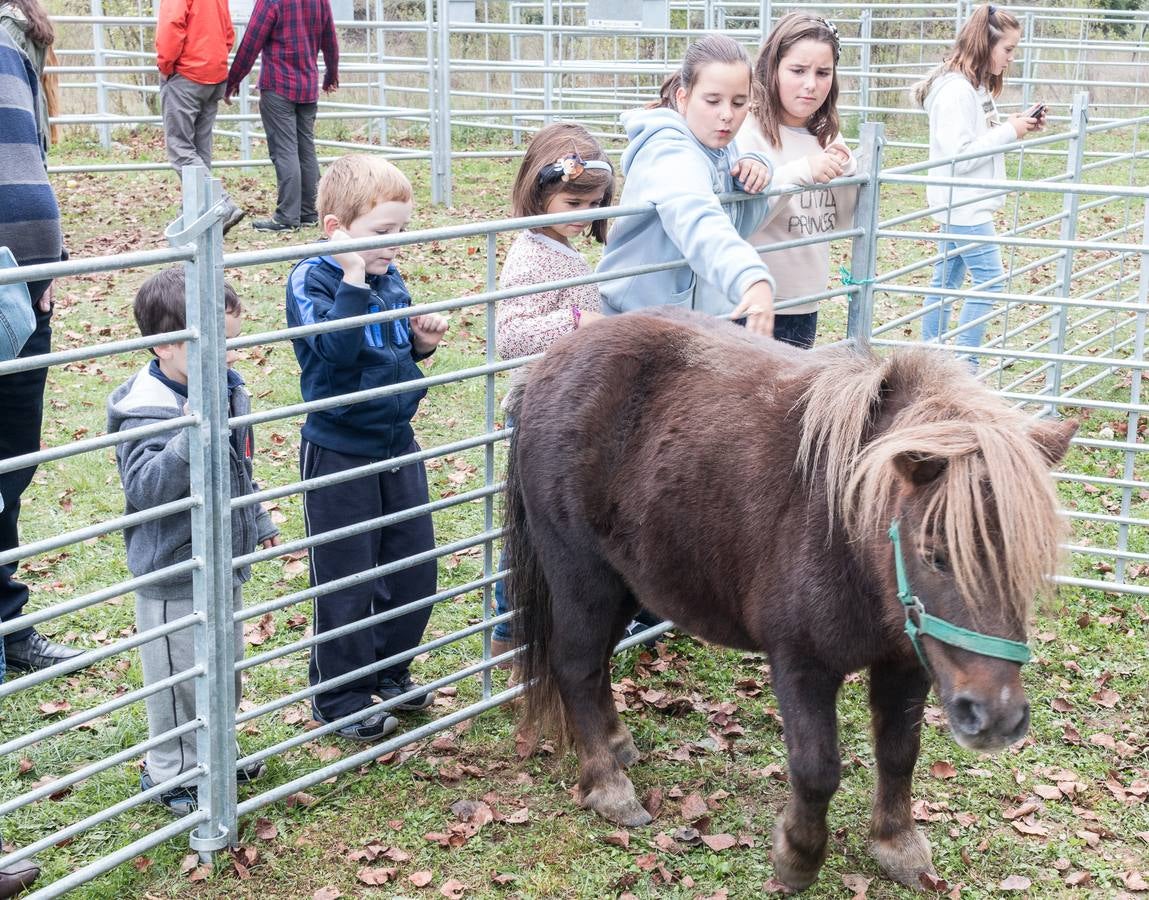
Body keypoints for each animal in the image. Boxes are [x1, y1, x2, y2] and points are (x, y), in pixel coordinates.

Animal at [505, 305, 1075, 891]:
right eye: (935, 554)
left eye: (1032, 558)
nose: (997, 718)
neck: (844, 528)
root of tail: (546, 366)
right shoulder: (802, 664)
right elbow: (817, 768)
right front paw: (798, 855)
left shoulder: (907, 661)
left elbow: (899, 753)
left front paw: (897, 844)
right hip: (582, 576)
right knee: (575, 665)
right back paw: (608, 786)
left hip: (625, 584)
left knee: (597, 663)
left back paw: (618, 744)